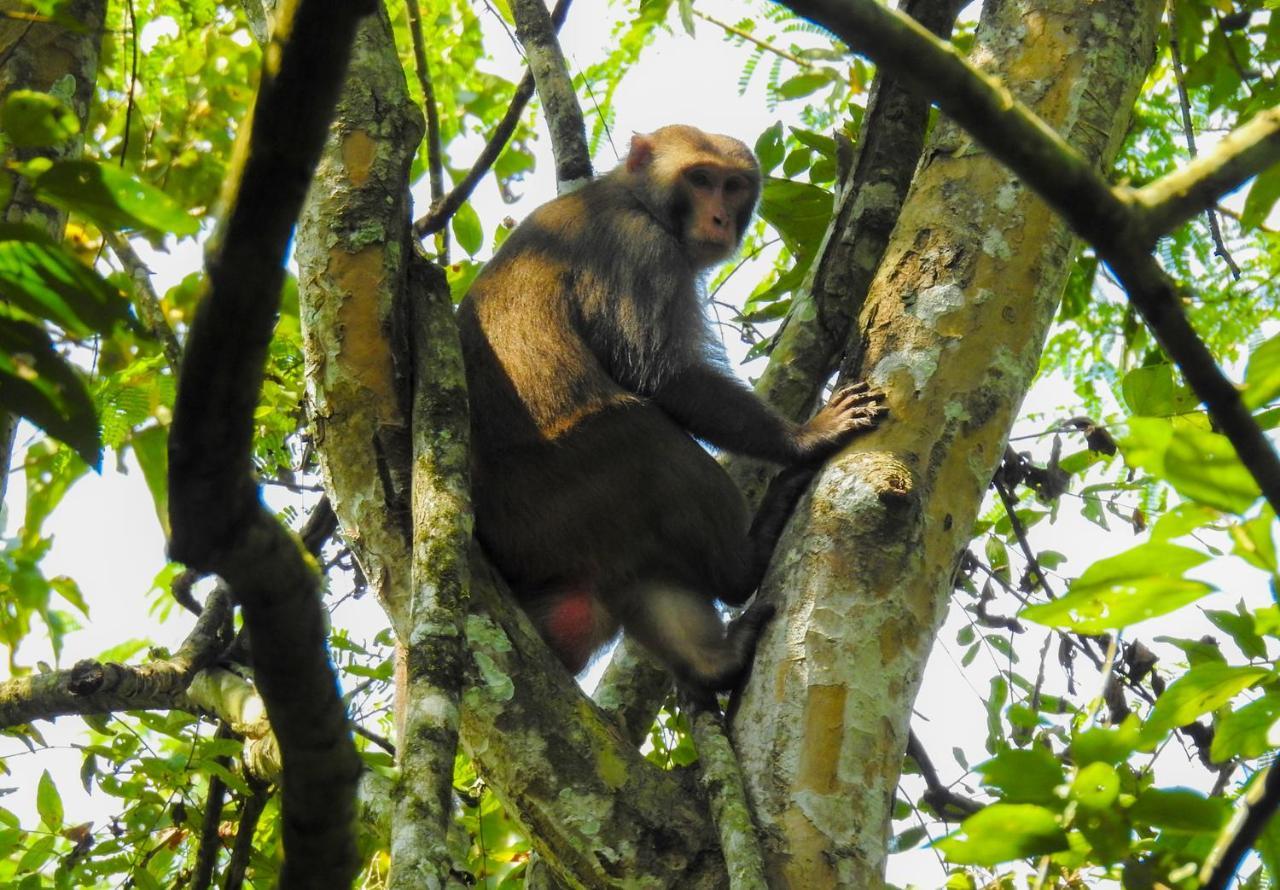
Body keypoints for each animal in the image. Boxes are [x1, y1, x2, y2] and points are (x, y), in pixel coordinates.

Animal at [455, 121, 885, 701]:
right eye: (700, 180)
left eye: (732, 186)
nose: (720, 218)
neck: (635, 197)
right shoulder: (642, 251)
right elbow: (664, 376)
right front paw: (806, 437)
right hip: (553, 489)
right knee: (650, 443)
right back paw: (743, 569)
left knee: (635, 567)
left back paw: (715, 663)